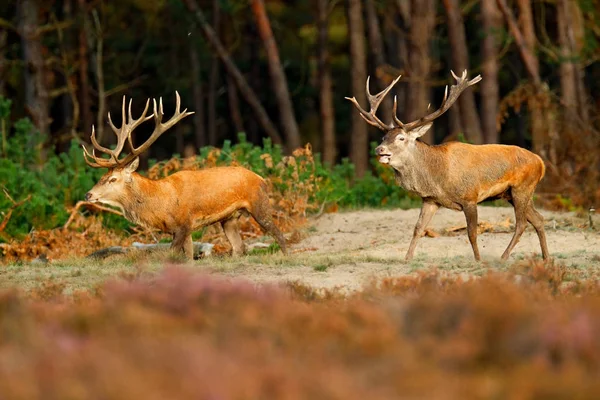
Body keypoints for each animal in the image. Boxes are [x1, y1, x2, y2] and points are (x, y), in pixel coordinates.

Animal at [83, 92, 288, 258]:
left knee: (279, 235)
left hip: (259, 204)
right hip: (229, 219)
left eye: (113, 179)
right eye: (101, 177)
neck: (161, 204)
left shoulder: (183, 225)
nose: (88, 194)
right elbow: (188, 257)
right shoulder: (183, 230)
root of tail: (261, 178)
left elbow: (171, 255)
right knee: (239, 248)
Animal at [346, 70, 548, 260]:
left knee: (521, 224)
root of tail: (541, 163)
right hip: (512, 194)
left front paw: (478, 260)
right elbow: (418, 228)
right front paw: (407, 259)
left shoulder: (470, 197)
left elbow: (472, 233)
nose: (379, 149)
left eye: (401, 138)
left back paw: (503, 257)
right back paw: (546, 258)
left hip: (522, 188)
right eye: (383, 137)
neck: (438, 176)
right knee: (538, 219)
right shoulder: (430, 200)